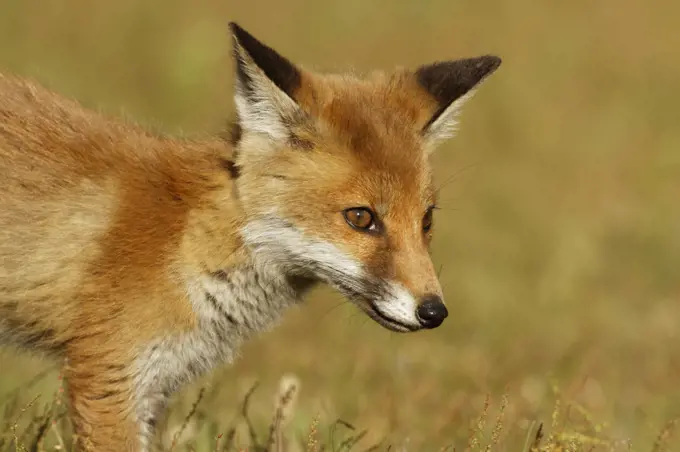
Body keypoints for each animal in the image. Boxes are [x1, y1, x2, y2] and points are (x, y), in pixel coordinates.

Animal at [0, 22, 500, 452]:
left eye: (426, 220)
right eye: (361, 218)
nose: (434, 311)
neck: (186, 240)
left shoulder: (153, 389)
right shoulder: (109, 377)